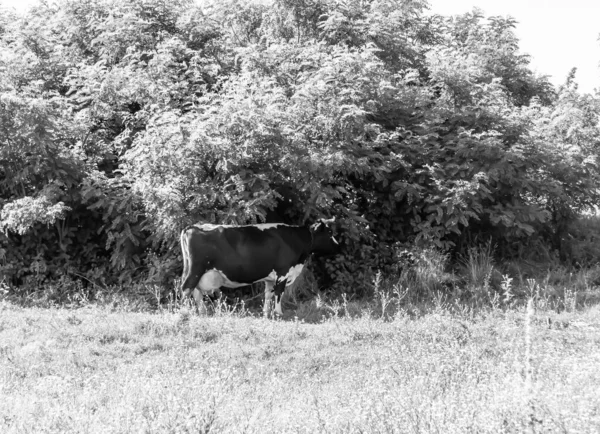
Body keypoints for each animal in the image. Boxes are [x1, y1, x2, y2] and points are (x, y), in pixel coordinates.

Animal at [178, 220, 338, 316]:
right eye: (329, 233)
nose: (338, 245)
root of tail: (193, 226)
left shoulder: (270, 278)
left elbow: (268, 294)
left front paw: (266, 313)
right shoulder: (283, 272)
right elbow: (279, 293)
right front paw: (279, 313)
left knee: (196, 292)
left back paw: (202, 313)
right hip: (195, 270)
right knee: (186, 289)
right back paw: (184, 312)